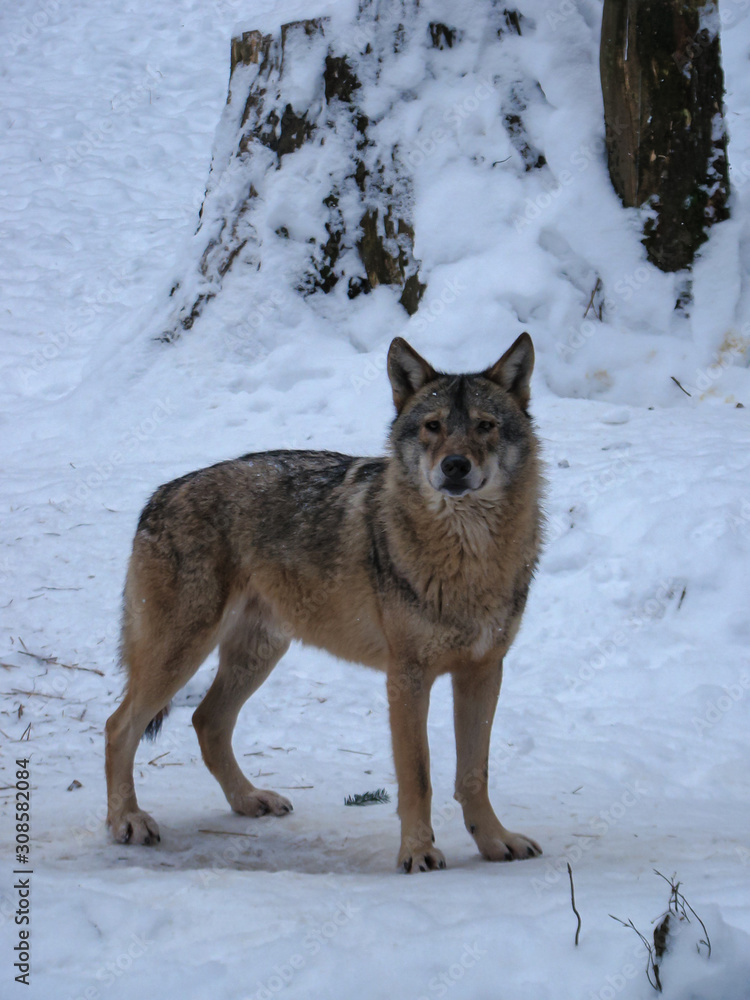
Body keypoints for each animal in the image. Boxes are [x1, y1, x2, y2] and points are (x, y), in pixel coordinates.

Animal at [105, 333, 544, 872]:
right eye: (433, 427)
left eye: (485, 426)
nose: (455, 466)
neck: (468, 555)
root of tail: (158, 496)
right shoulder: (407, 677)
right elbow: (418, 775)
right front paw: (418, 852)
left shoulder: (484, 671)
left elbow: (474, 775)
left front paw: (495, 841)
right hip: (180, 653)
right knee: (119, 727)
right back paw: (127, 821)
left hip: (258, 654)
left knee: (207, 721)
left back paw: (249, 800)